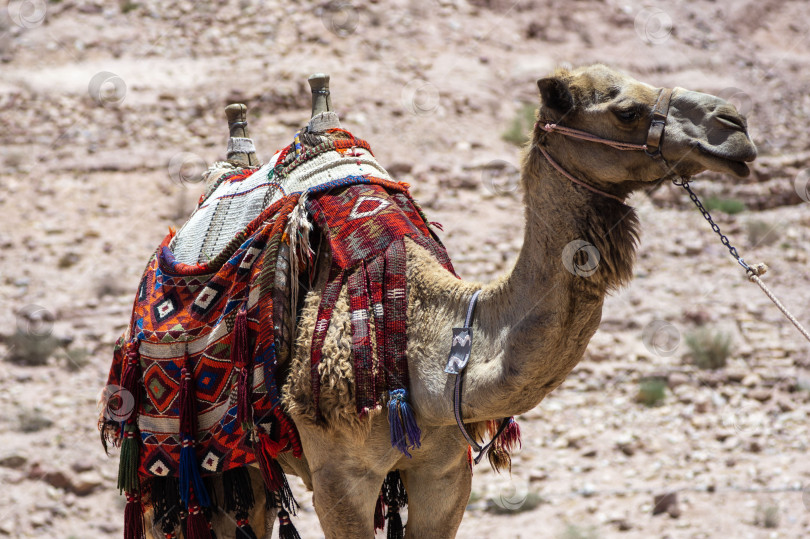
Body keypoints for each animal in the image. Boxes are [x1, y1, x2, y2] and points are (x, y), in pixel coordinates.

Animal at [137, 65, 756, 536]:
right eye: (625, 110)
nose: (736, 126)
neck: (433, 350)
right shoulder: (339, 479)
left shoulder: (446, 472)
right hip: (192, 456)